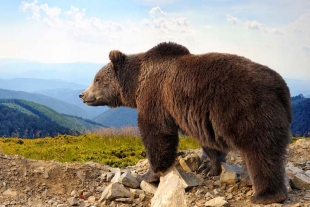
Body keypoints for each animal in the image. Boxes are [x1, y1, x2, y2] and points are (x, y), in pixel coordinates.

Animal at [79, 41, 290, 204]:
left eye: (97, 79)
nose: (82, 95)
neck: (137, 83)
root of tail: (280, 87)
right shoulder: (201, 118)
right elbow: (208, 142)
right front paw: (210, 167)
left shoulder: (156, 97)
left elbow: (157, 133)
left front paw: (148, 174)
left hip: (247, 109)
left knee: (260, 152)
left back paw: (266, 195)